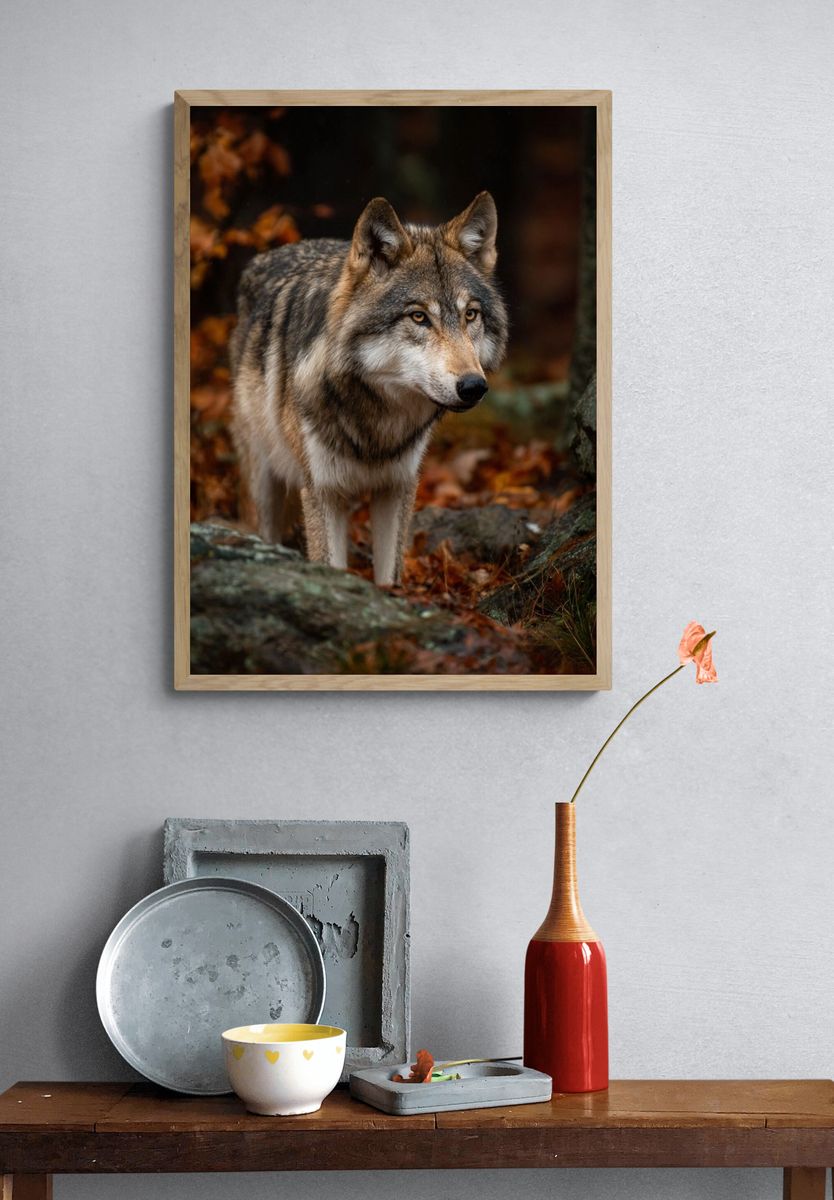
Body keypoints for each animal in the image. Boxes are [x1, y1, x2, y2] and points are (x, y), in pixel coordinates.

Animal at [230, 192, 508, 586]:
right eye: (419, 317)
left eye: (471, 314)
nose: (473, 386)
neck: (378, 423)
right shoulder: (323, 491)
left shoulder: (397, 486)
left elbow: (389, 578)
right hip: (264, 482)